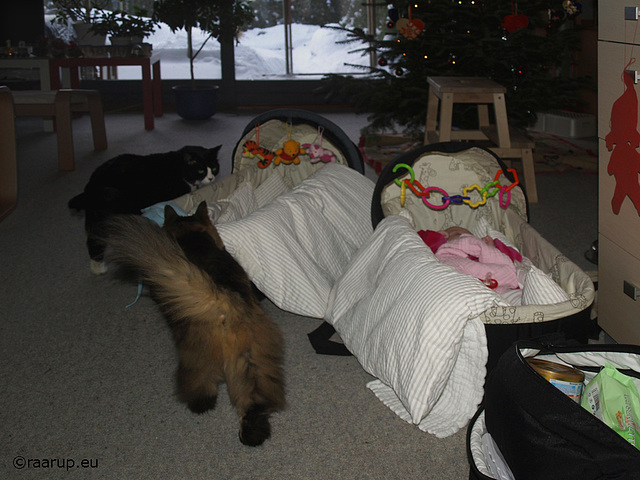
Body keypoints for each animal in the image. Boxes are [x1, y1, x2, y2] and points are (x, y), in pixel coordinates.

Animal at [68, 144, 221, 274]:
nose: (211, 178)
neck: (179, 168)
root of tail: (91, 184)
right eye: (201, 170)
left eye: (214, 168)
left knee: (93, 237)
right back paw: (100, 267)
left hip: (95, 213)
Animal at [105, 201, 284, 444]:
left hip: (195, 353)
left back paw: (201, 404)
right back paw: (252, 433)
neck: (192, 238)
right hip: (249, 355)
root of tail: (218, 299)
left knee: (201, 382)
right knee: (253, 400)